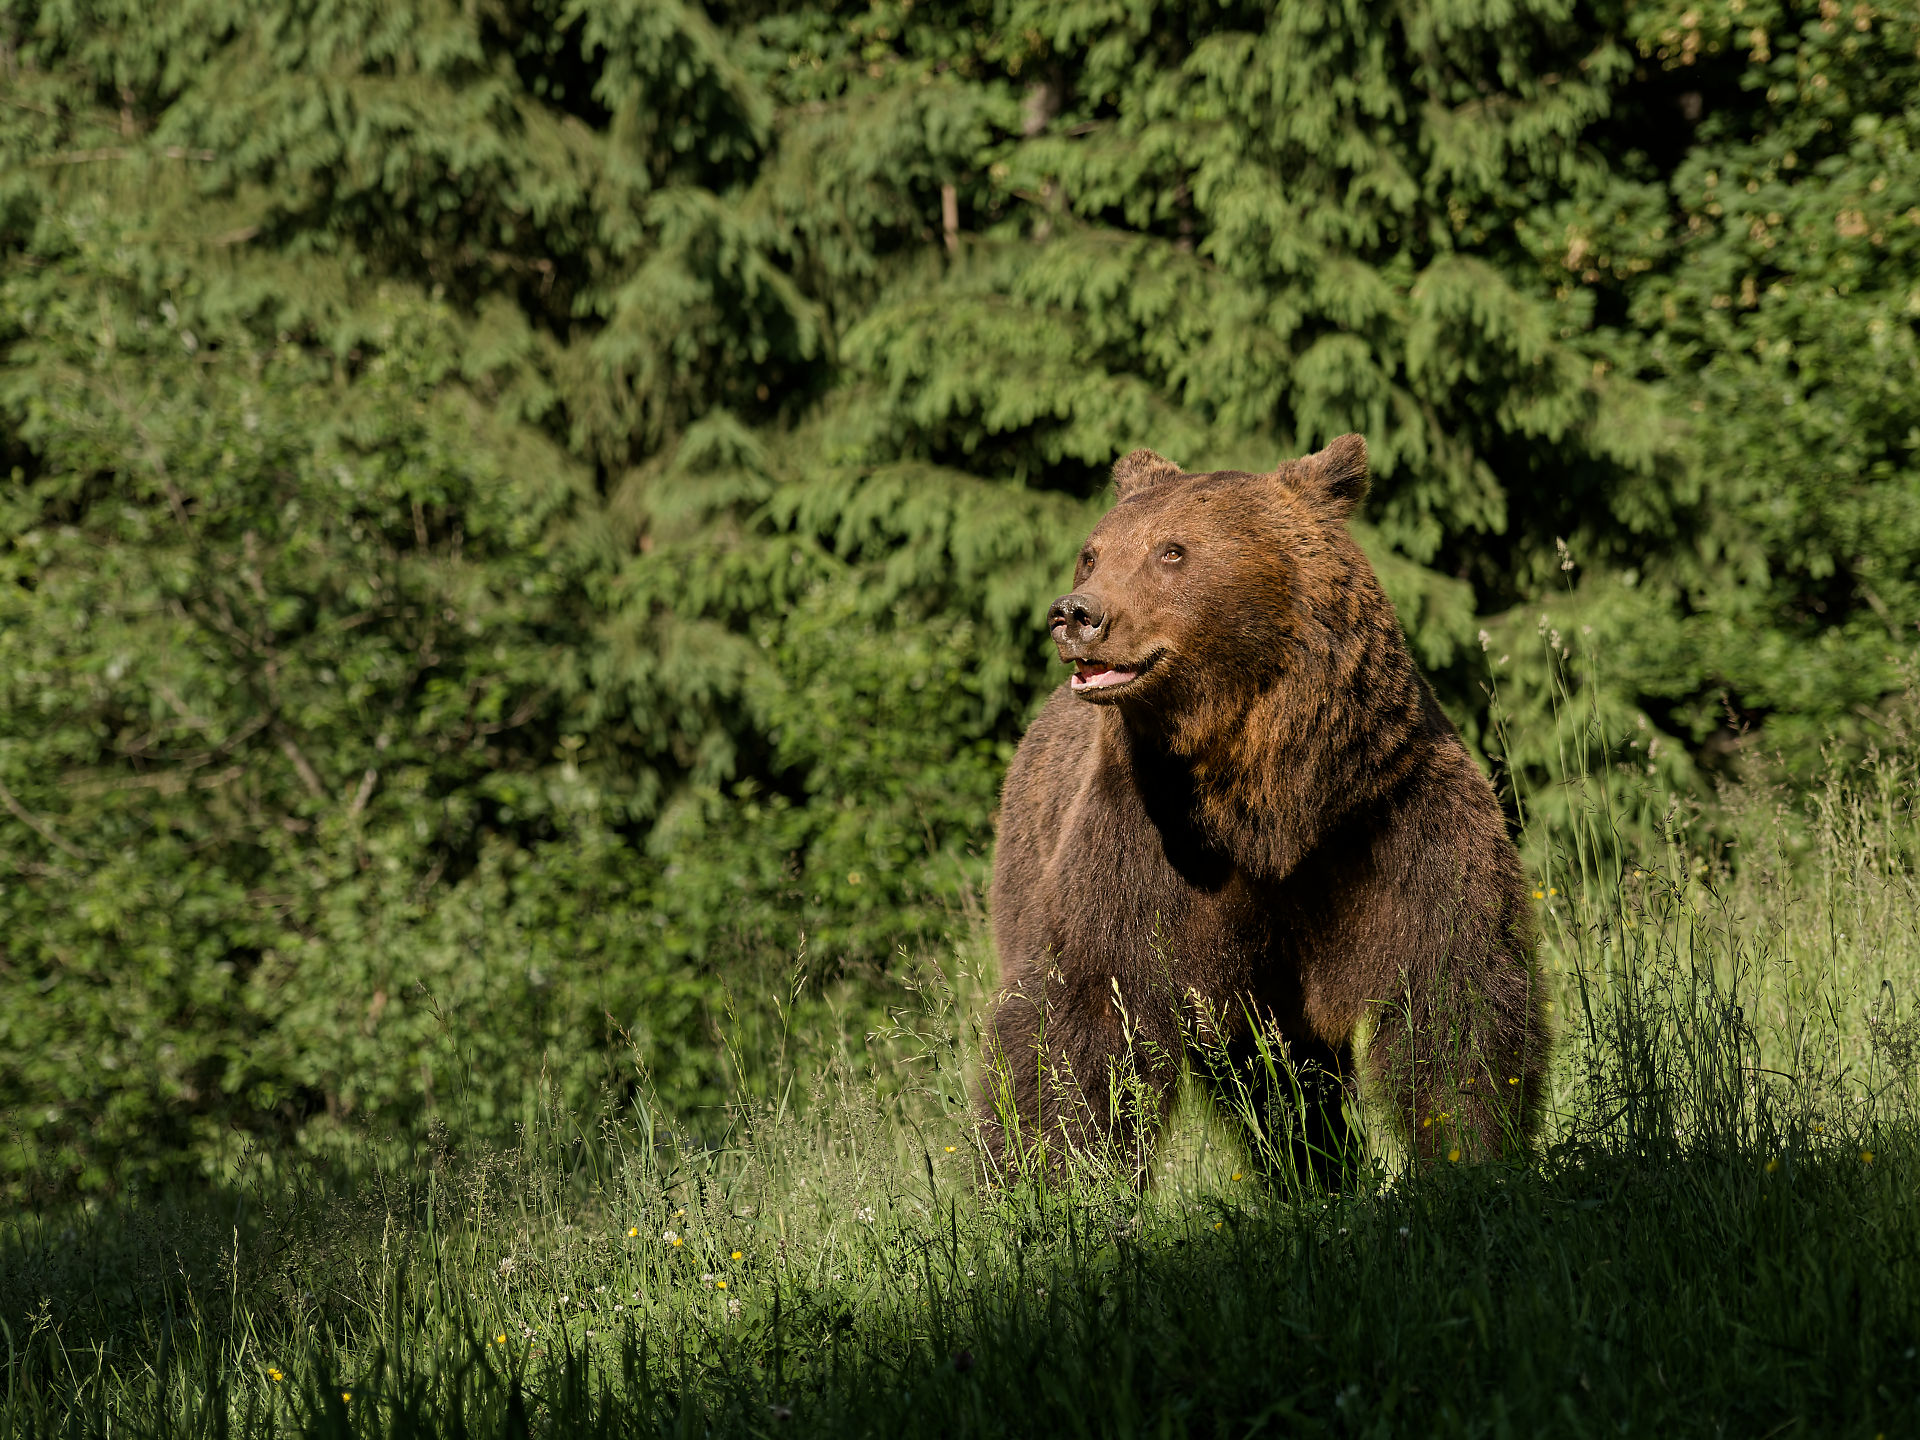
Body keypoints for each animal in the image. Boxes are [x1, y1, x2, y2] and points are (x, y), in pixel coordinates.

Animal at [980, 435, 1546, 1185]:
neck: (1268, 798)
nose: (1076, 614)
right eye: (1093, 552)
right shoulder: (1147, 843)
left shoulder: (1389, 818)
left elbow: (1456, 990)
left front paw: (1473, 1151)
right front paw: (1054, 1175)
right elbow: (1088, 1007)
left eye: (1171, 551)